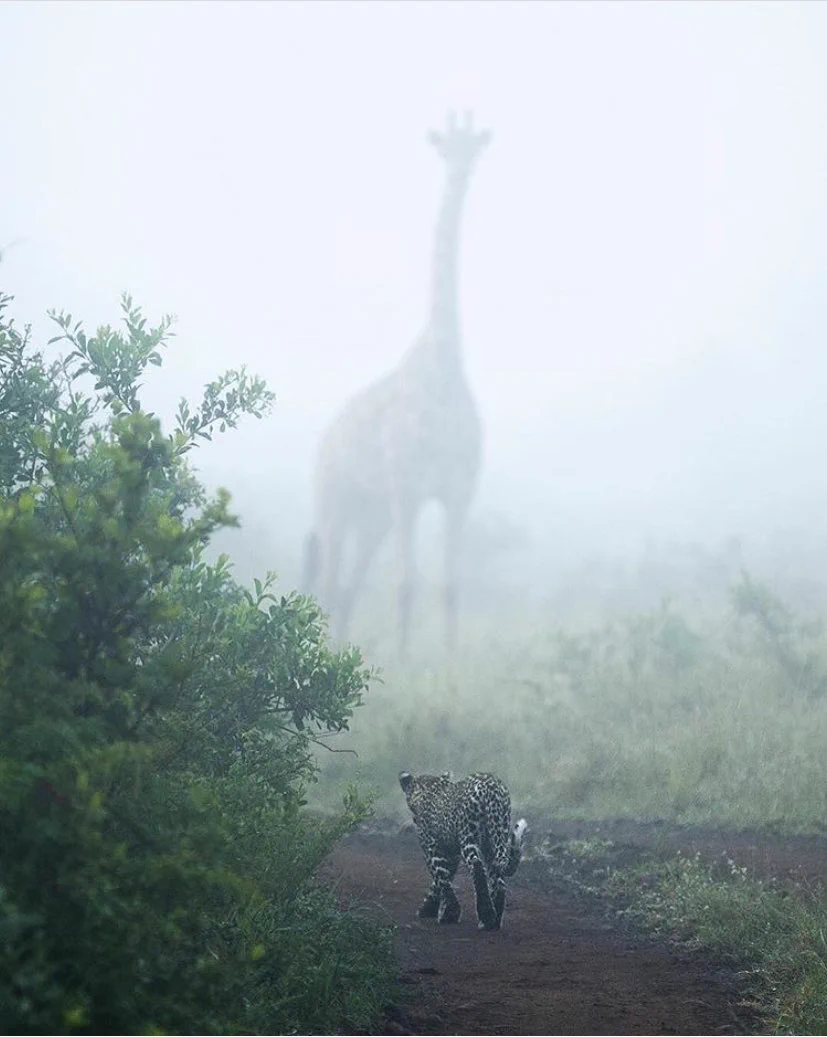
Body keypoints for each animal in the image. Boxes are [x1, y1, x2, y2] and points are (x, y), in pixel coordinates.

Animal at [300, 111, 487, 655]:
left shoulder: (458, 489)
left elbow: (449, 585)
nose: (460, 171)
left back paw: (340, 650)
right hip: (334, 501)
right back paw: (324, 654)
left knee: (348, 586)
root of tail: (324, 440)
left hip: (372, 515)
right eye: (445, 147)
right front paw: (404, 664)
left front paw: (449, 661)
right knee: (328, 581)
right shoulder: (407, 486)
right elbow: (405, 584)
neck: (444, 363)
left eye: (476, 147)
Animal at [396, 771, 525, 933]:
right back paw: (495, 920)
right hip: (494, 840)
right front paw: (431, 908)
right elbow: (442, 880)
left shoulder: (431, 848)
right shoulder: (451, 854)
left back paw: (486, 918)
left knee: (477, 866)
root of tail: (492, 788)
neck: (427, 789)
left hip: (468, 837)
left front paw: (448, 914)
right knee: (498, 878)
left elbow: (441, 877)